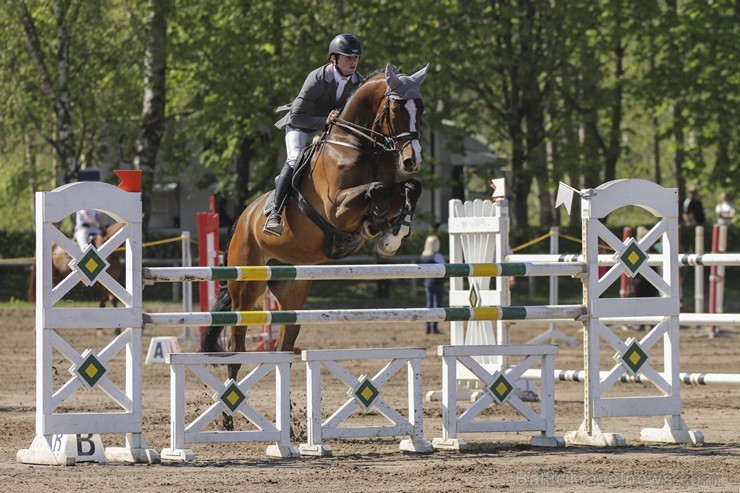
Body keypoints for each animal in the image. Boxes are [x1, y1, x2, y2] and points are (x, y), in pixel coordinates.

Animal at [202, 63, 430, 380]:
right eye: (396, 109)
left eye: (421, 108)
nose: (413, 160)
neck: (363, 147)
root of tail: (242, 220)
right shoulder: (337, 209)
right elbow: (377, 190)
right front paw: (375, 225)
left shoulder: (391, 188)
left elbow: (410, 187)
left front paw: (392, 237)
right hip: (247, 287)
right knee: (237, 341)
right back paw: (230, 394)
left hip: (292, 289)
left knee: (285, 342)